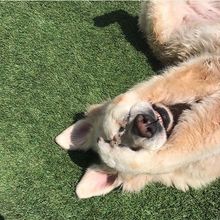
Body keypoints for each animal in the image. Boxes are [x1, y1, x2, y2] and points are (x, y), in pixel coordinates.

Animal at [55, 0, 220, 199]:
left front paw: (115, 113)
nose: (143, 125)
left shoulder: (207, 66)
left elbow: (134, 94)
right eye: (131, 147)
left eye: (121, 128)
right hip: (161, 33)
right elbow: (162, 159)